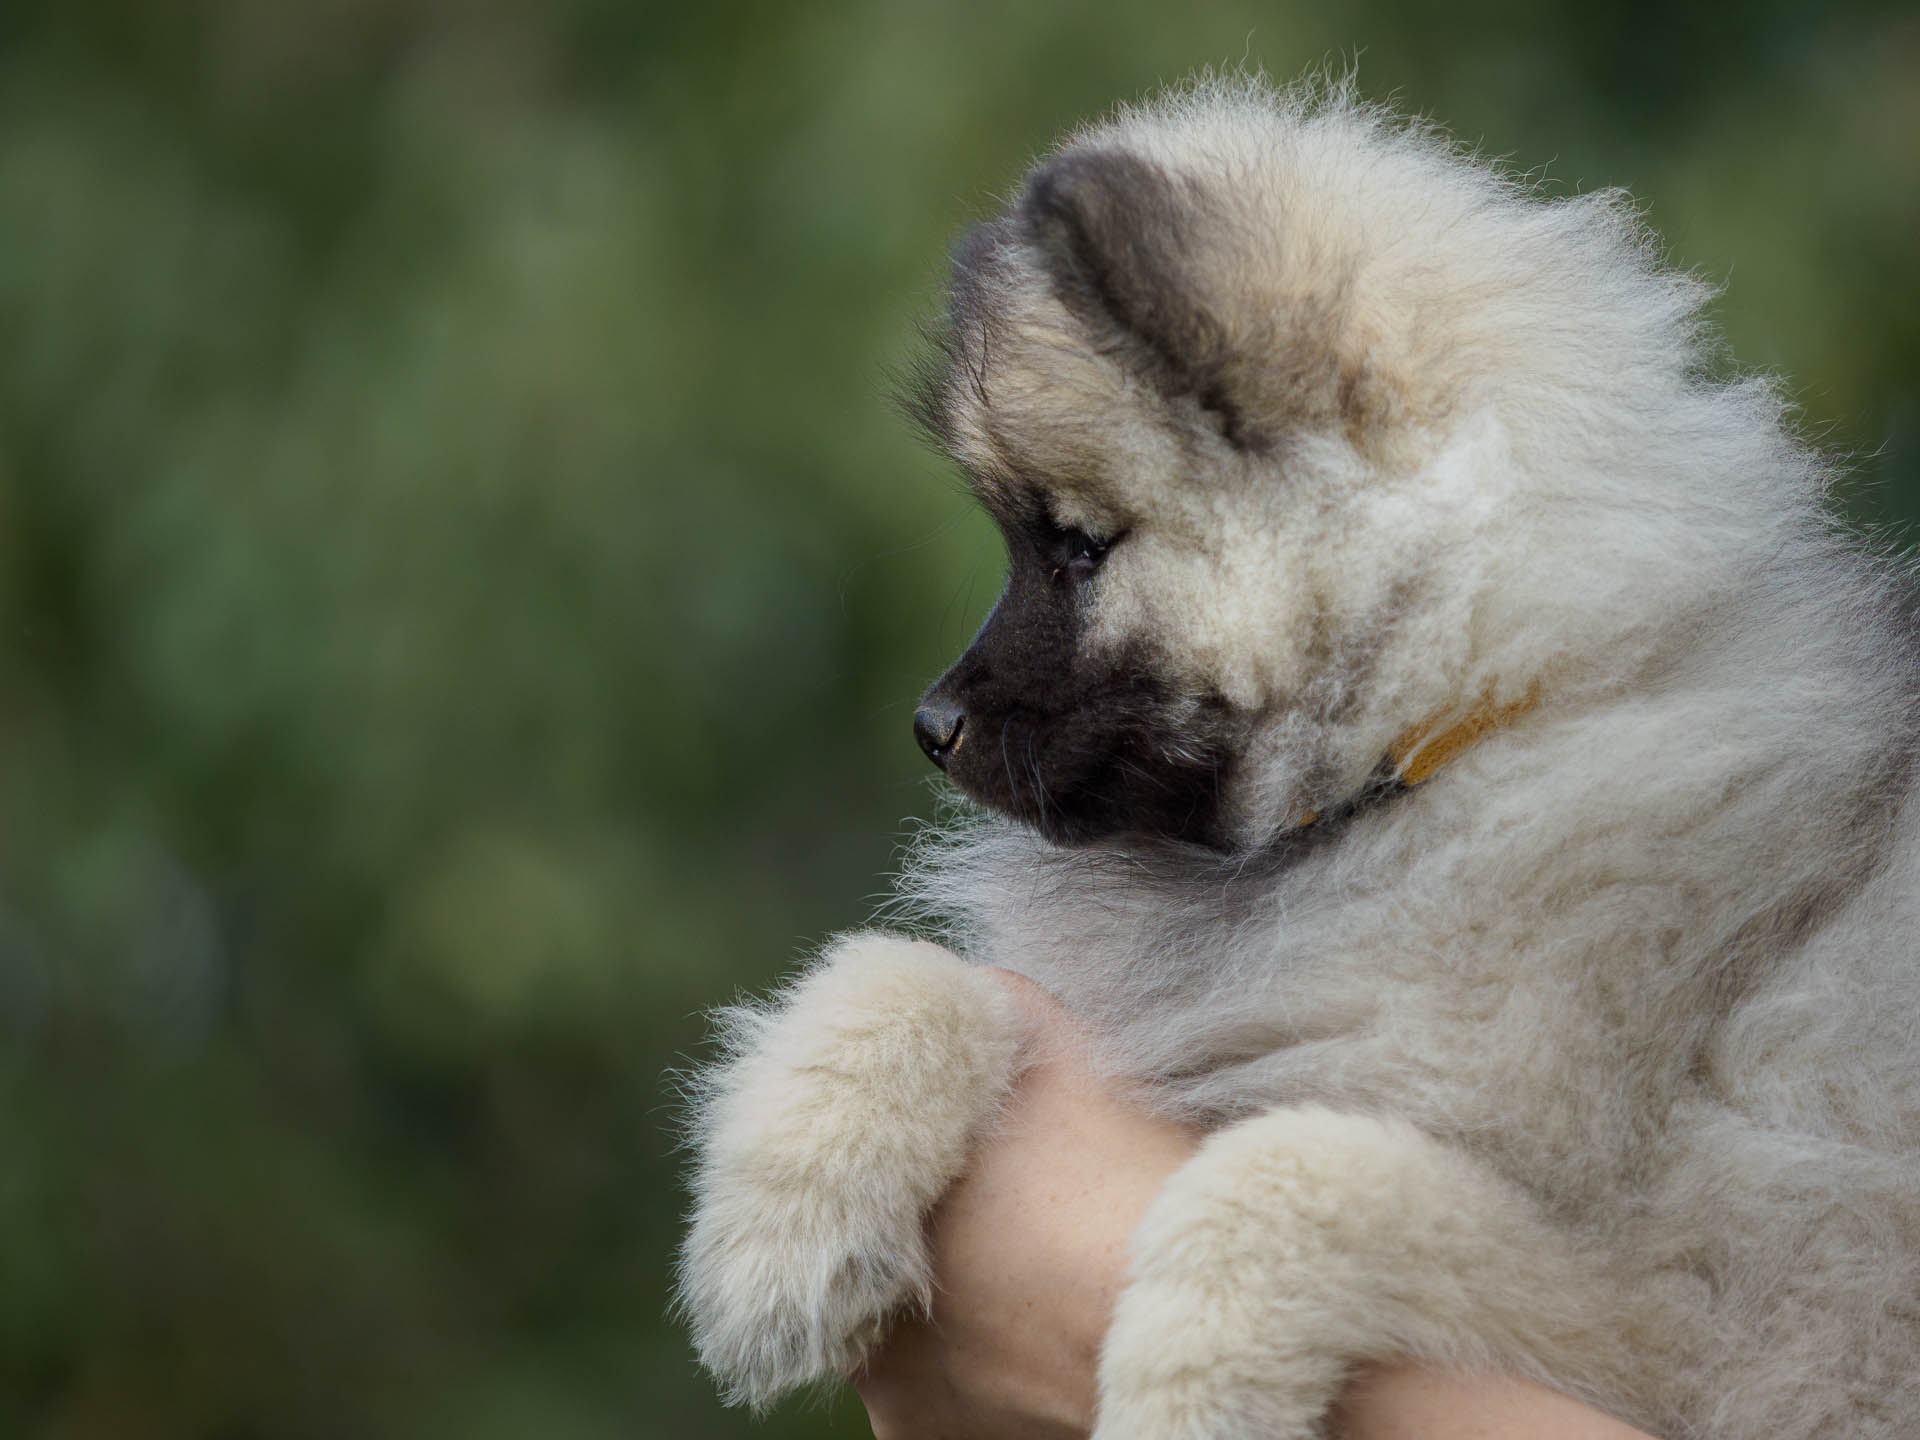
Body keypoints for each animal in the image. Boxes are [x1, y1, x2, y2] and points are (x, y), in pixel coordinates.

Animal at [675, 81, 1920, 1440]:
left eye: (1078, 548)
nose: (929, 725)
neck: (1433, 751)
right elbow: (905, 973)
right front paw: (779, 1225)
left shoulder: (1695, 1294)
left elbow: (1292, 1164)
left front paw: (1184, 1384)